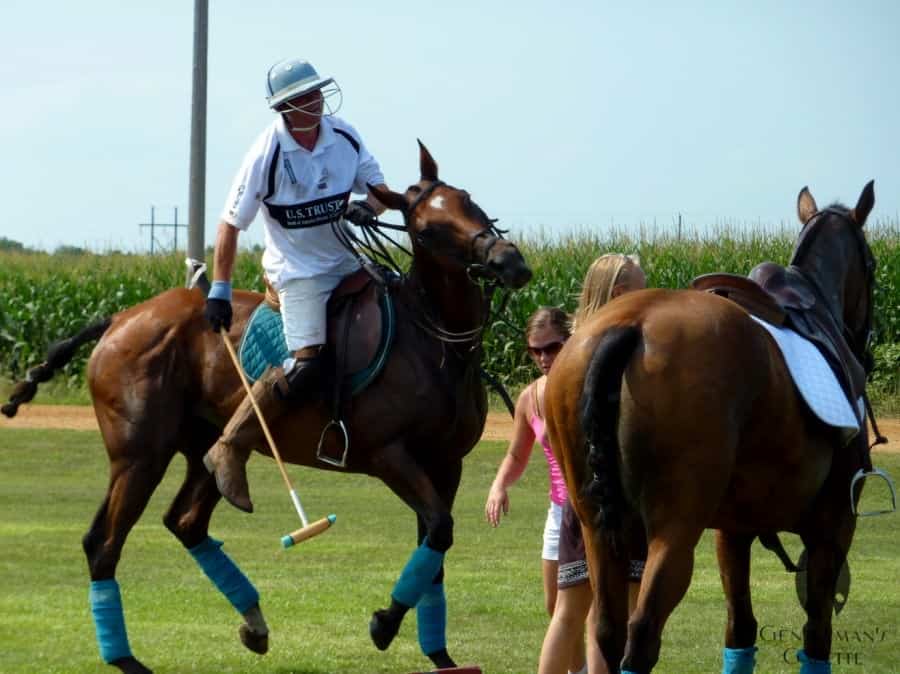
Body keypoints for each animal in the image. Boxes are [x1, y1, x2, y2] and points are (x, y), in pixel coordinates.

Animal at [2, 142, 532, 674]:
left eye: (469, 199)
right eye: (426, 230)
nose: (510, 262)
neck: (433, 340)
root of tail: (118, 319)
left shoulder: (446, 463)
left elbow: (435, 546)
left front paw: (439, 654)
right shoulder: (390, 455)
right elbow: (439, 531)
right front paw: (383, 625)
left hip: (201, 448)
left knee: (187, 519)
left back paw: (253, 622)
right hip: (139, 455)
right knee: (104, 542)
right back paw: (128, 660)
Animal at [544, 181, 878, 673]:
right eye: (872, 265)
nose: (866, 345)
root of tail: (629, 325)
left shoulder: (732, 530)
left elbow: (740, 628)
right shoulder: (834, 525)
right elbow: (816, 633)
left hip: (595, 526)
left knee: (607, 629)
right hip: (676, 526)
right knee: (642, 633)